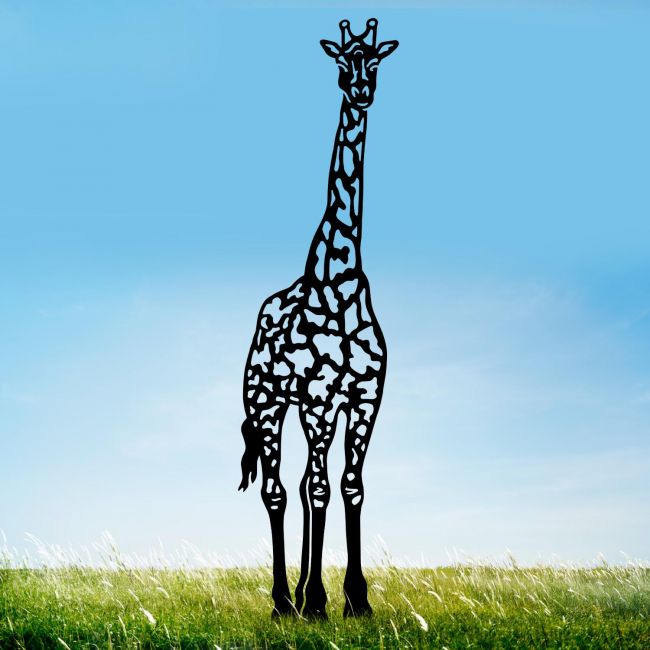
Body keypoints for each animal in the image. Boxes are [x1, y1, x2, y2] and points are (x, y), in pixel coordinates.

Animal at [238, 18, 398, 619]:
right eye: (340, 60)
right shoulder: (322, 397)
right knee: (279, 489)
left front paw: (355, 599)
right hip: (266, 401)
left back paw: (305, 595)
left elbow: (349, 486)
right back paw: (286, 601)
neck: (341, 281)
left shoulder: (364, 396)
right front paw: (322, 599)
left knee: (307, 482)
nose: (361, 91)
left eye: (375, 60)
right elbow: (320, 489)